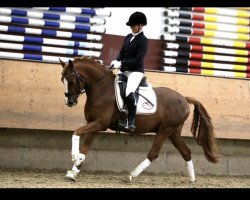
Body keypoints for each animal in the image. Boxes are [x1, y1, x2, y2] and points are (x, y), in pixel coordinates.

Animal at [59, 56, 219, 183]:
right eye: (62, 80)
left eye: (71, 80)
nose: (69, 102)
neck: (101, 88)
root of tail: (184, 99)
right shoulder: (93, 124)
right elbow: (85, 148)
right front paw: (74, 171)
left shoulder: (99, 124)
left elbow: (76, 132)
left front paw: (74, 157)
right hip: (174, 132)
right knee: (186, 152)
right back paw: (192, 179)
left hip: (165, 130)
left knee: (154, 154)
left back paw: (131, 176)